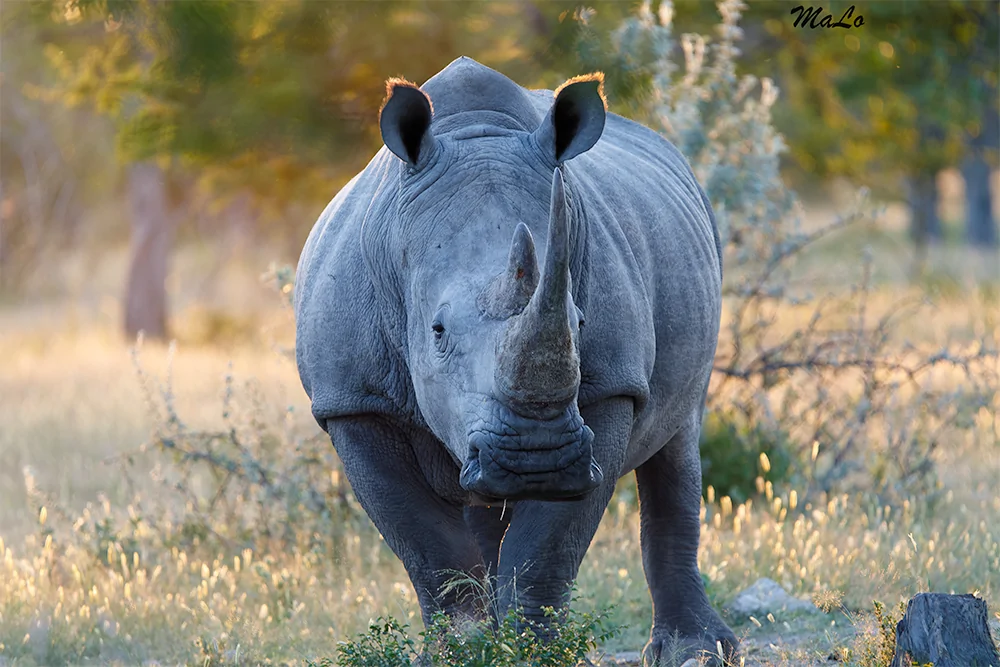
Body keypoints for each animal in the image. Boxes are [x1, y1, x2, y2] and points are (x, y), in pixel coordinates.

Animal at [294, 56, 738, 665]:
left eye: (579, 324)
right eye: (437, 331)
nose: (537, 458)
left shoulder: (611, 388)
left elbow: (546, 548)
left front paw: (533, 651)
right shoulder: (353, 401)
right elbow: (428, 548)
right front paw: (465, 649)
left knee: (679, 437)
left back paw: (696, 650)